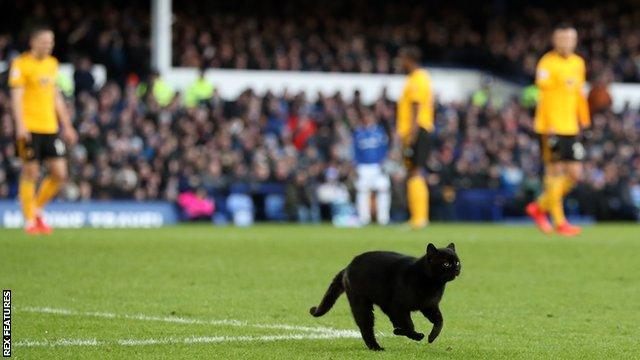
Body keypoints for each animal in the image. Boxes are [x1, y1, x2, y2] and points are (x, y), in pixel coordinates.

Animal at [310, 243, 460, 350]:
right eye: (446, 264)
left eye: (457, 262)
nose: (457, 268)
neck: (433, 285)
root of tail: (348, 266)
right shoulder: (398, 307)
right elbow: (409, 325)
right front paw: (414, 335)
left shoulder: (429, 306)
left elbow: (440, 321)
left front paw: (431, 337)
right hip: (362, 306)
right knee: (366, 328)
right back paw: (376, 348)